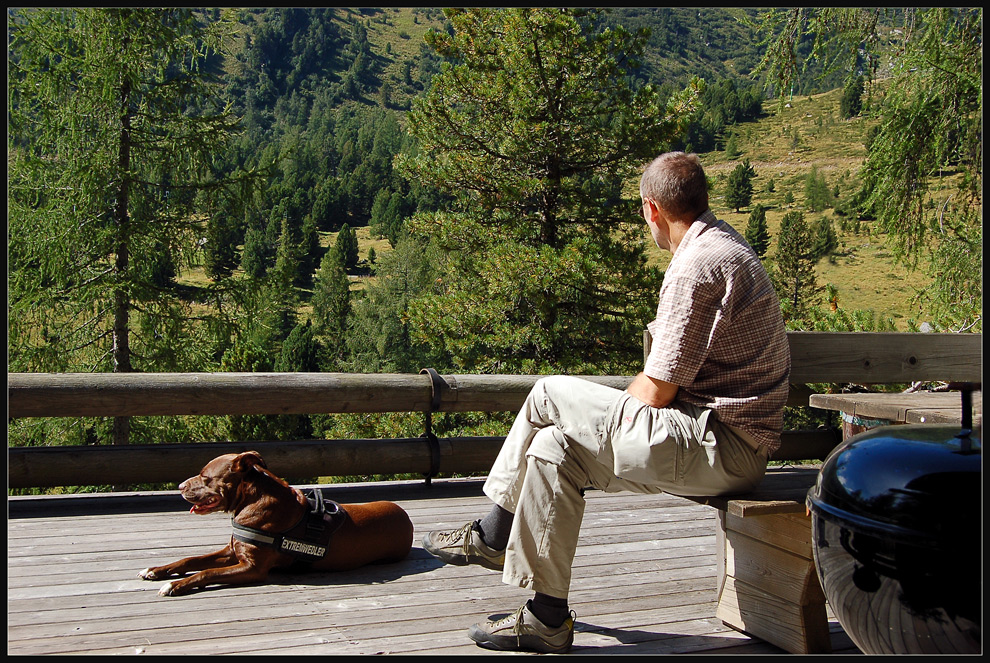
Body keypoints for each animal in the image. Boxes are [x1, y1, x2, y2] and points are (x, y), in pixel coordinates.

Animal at [139, 452, 414, 596]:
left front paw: (175, 585)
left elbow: (206, 572)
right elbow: (190, 560)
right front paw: (157, 570)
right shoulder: (231, 551)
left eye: (205, 477)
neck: (251, 500)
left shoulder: (252, 568)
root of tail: (407, 518)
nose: (179, 486)